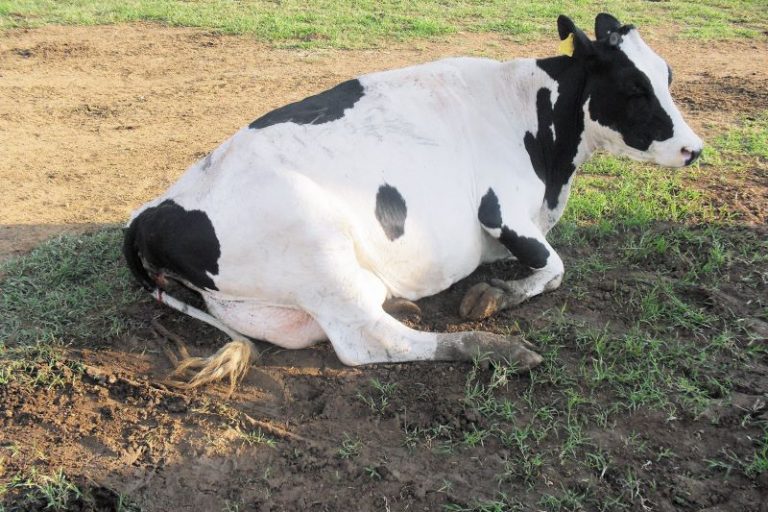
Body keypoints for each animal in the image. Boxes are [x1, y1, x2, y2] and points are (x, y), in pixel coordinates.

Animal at [124, 13, 703, 391]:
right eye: (633, 86)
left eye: (667, 76)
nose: (694, 148)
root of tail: (147, 217)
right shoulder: (501, 210)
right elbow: (556, 268)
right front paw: (493, 297)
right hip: (317, 249)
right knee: (370, 340)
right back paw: (492, 349)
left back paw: (402, 302)